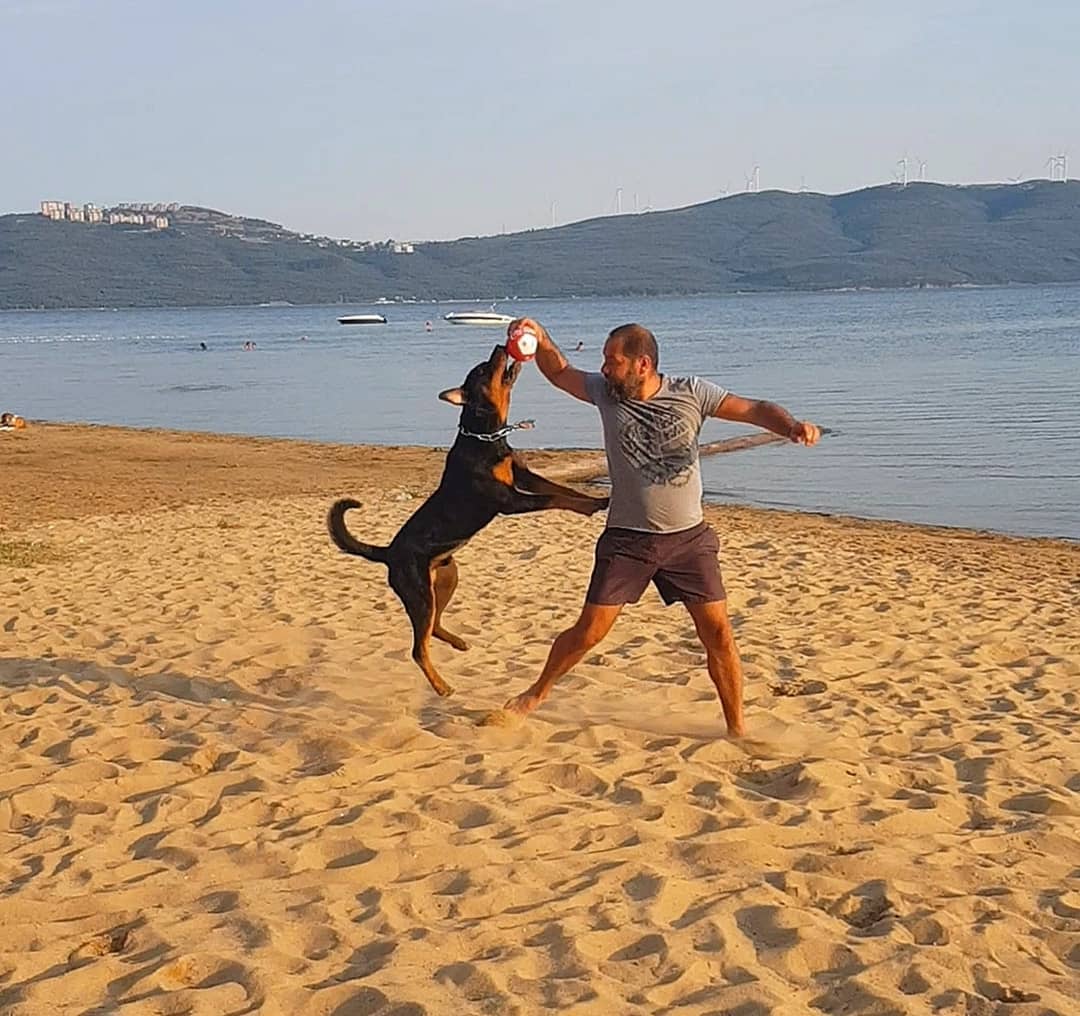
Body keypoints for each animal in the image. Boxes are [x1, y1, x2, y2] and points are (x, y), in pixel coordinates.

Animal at [326, 345, 609, 695]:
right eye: (483, 370)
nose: (500, 347)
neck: (486, 435)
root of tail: (388, 552)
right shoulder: (509, 500)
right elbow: (556, 499)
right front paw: (589, 506)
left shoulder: (526, 477)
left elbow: (563, 490)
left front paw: (598, 501)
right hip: (419, 594)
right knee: (418, 648)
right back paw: (441, 686)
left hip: (447, 578)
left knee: (433, 627)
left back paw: (458, 643)